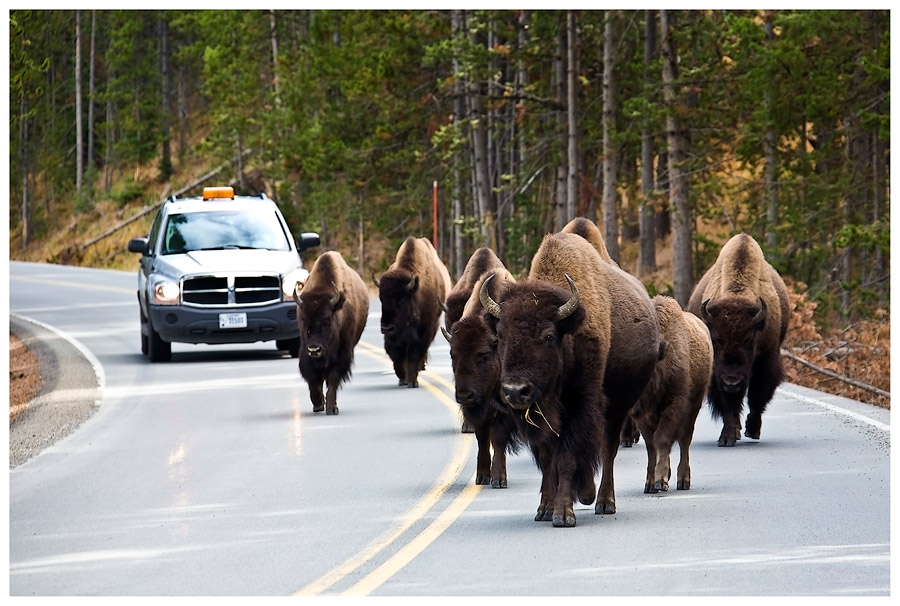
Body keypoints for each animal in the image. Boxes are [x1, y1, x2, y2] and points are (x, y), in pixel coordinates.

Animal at [294, 249, 368, 416]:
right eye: (302, 318)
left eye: (327, 318)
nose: (314, 349)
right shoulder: (305, 352)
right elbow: (313, 378)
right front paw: (318, 404)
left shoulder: (342, 355)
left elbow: (333, 379)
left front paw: (331, 408)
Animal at [376, 238, 454, 390]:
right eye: (381, 299)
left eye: (400, 299)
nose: (387, 327)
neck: (416, 294)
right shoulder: (395, 337)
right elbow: (396, 354)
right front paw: (403, 378)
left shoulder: (425, 331)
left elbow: (414, 355)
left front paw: (412, 381)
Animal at [478, 233, 660, 528]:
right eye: (501, 335)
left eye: (549, 335)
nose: (516, 391)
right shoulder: (540, 422)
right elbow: (547, 460)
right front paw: (545, 508)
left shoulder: (581, 407)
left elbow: (567, 459)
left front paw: (563, 514)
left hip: (619, 407)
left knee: (608, 449)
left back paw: (603, 502)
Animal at [628, 296, 712, 496]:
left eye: (644, 370)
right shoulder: (644, 418)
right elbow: (651, 446)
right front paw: (650, 484)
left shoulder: (674, 405)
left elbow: (662, 439)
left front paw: (660, 481)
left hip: (693, 408)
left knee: (684, 440)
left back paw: (683, 480)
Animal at [688, 235, 788, 448]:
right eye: (716, 339)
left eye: (749, 339)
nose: (731, 381)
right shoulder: (718, 372)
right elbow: (728, 405)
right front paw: (727, 437)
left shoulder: (766, 360)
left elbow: (757, 396)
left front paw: (753, 429)